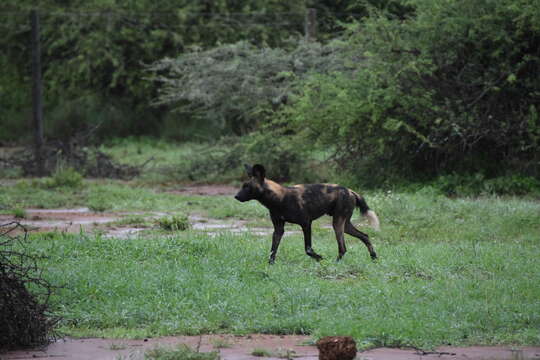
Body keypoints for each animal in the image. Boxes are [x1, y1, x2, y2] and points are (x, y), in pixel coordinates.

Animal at [235, 165, 380, 262]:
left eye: (247, 187)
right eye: (243, 186)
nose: (236, 196)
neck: (279, 198)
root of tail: (350, 190)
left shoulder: (306, 224)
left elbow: (308, 249)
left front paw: (320, 258)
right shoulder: (279, 229)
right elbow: (272, 250)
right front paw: (270, 265)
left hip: (337, 223)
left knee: (343, 247)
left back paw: (336, 263)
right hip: (345, 225)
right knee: (364, 236)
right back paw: (373, 257)